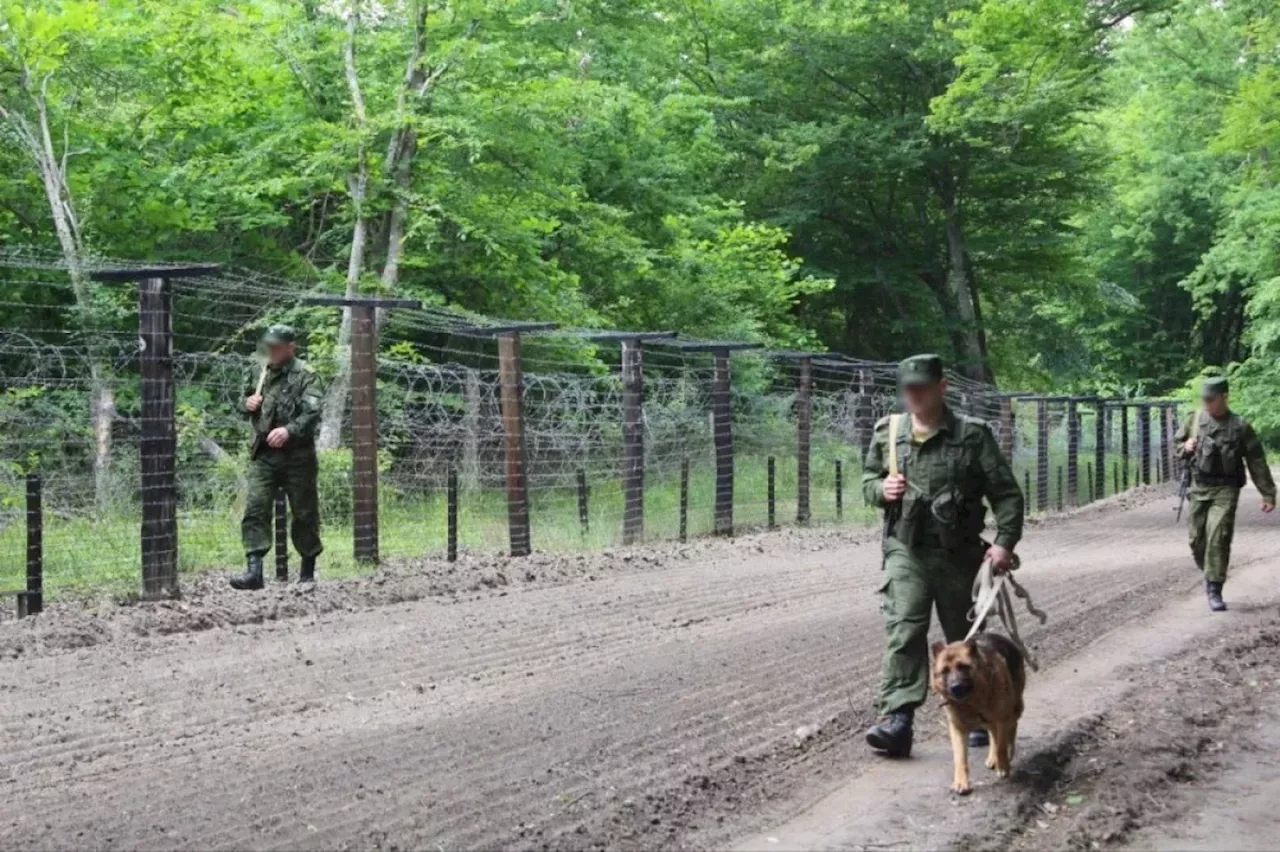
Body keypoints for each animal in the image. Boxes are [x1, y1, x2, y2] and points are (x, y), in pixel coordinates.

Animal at [926, 626, 1024, 793]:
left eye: (963, 666)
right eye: (945, 671)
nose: (955, 687)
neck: (970, 703)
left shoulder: (1002, 719)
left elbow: (1001, 746)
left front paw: (1003, 766)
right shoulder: (957, 728)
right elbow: (960, 757)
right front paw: (961, 781)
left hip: (1013, 710)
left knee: (1011, 729)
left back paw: (1007, 752)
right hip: (990, 721)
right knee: (993, 734)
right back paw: (992, 757)